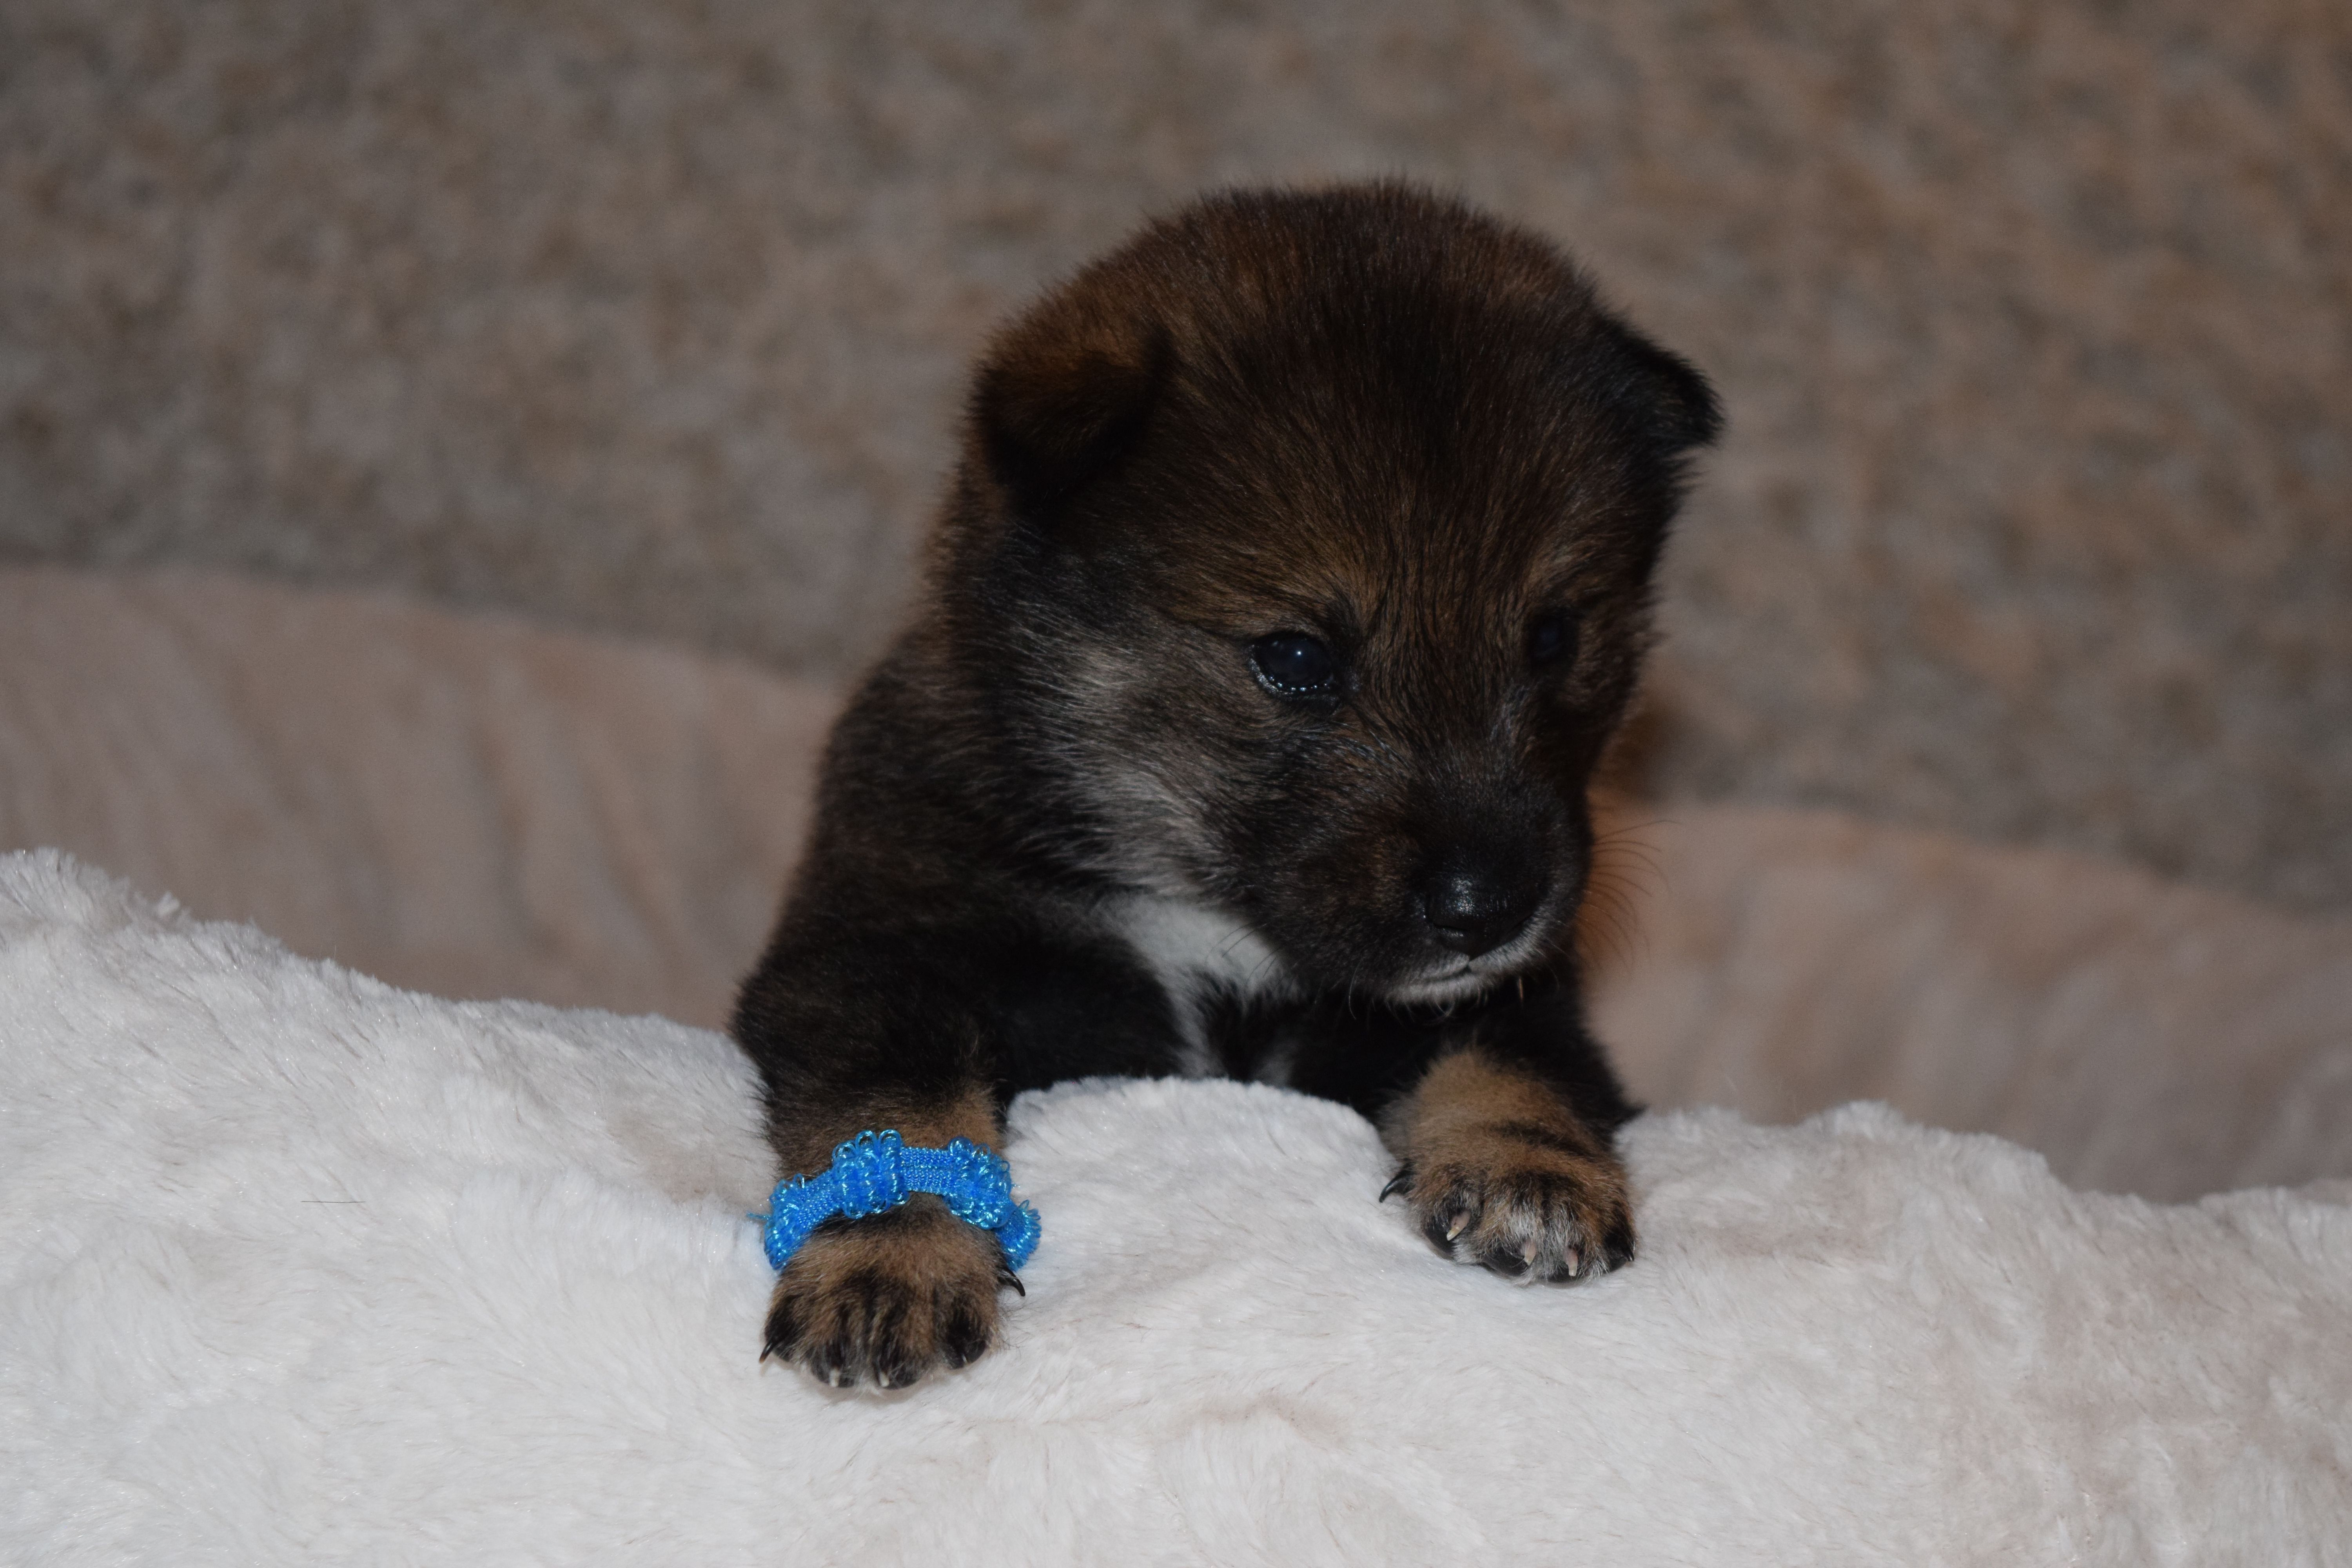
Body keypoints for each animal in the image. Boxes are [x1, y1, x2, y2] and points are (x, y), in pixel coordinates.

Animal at [733, 182, 1720, 1389]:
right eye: (1295, 658)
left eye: (1552, 638)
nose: (1491, 908)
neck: (1200, 903)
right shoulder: (878, 943)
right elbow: (896, 1101)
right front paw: (893, 1259)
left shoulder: (1504, 997)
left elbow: (1512, 1053)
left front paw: (1533, 1173)